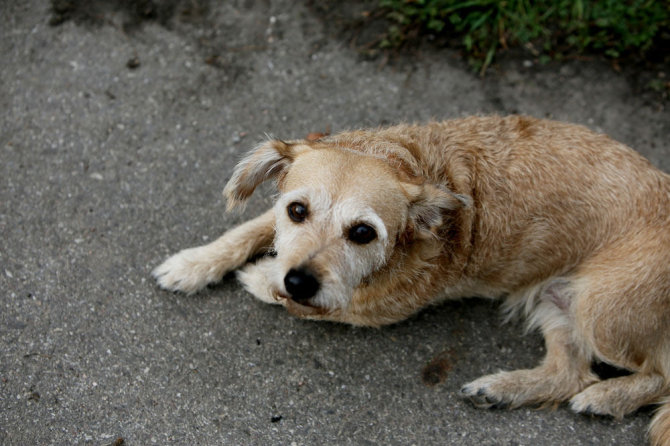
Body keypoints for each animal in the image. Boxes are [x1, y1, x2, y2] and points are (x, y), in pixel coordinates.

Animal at [154, 116, 670, 446]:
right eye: (297, 210)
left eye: (363, 233)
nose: (299, 280)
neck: (411, 164)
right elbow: (248, 230)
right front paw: (193, 263)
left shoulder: (368, 308)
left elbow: (317, 300)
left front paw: (262, 279)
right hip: (554, 296)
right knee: (568, 372)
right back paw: (501, 390)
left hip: (599, 309)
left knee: (654, 374)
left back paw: (606, 396)